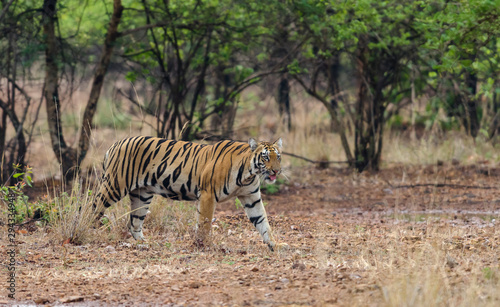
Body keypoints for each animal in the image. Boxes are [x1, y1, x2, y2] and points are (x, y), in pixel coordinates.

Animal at [93, 137, 288, 253]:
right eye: (265, 157)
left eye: (278, 157)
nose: (276, 171)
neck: (249, 174)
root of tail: (115, 144)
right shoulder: (208, 194)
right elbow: (205, 223)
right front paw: (205, 245)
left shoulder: (251, 198)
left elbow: (263, 222)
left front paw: (275, 244)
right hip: (114, 186)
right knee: (93, 208)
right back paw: (91, 232)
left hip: (141, 195)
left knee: (134, 223)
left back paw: (145, 243)